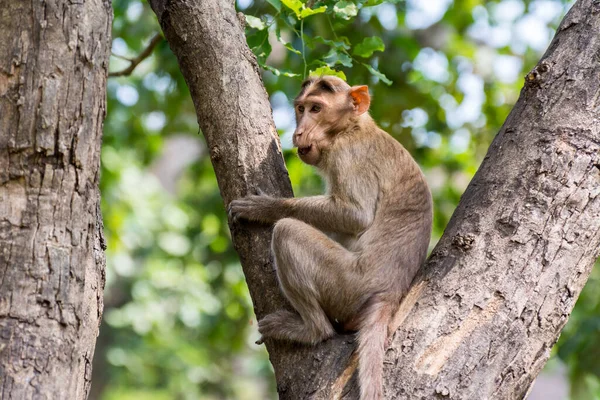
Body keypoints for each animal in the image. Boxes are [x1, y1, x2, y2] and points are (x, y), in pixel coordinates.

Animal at [230, 76, 432, 400]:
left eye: (316, 108)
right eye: (300, 108)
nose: (299, 131)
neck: (353, 127)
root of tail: (390, 293)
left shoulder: (347, 155)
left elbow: (355, 214)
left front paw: (266, 208)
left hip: (347, 285)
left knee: (286, 232)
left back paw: (312, 330)